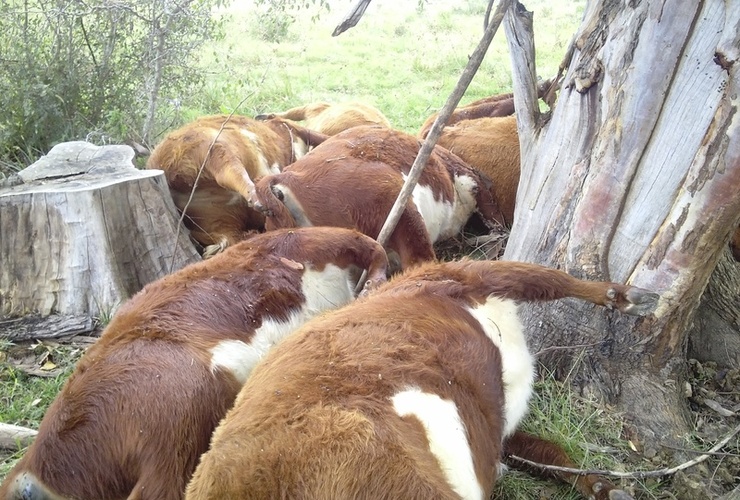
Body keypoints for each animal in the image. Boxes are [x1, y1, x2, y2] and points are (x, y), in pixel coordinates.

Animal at [146, 114, 328, 256]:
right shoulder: (288, 126)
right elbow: (313, 134)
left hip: (219, 220)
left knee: (229, 241)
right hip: (211, 146)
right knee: (230, 171)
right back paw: (260, 198)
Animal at [184, 258, 652, 500]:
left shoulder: (497, 431)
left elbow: (551, 453)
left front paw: (604, 487)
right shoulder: (467, 274)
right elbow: (546, 278)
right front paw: (624, 296)